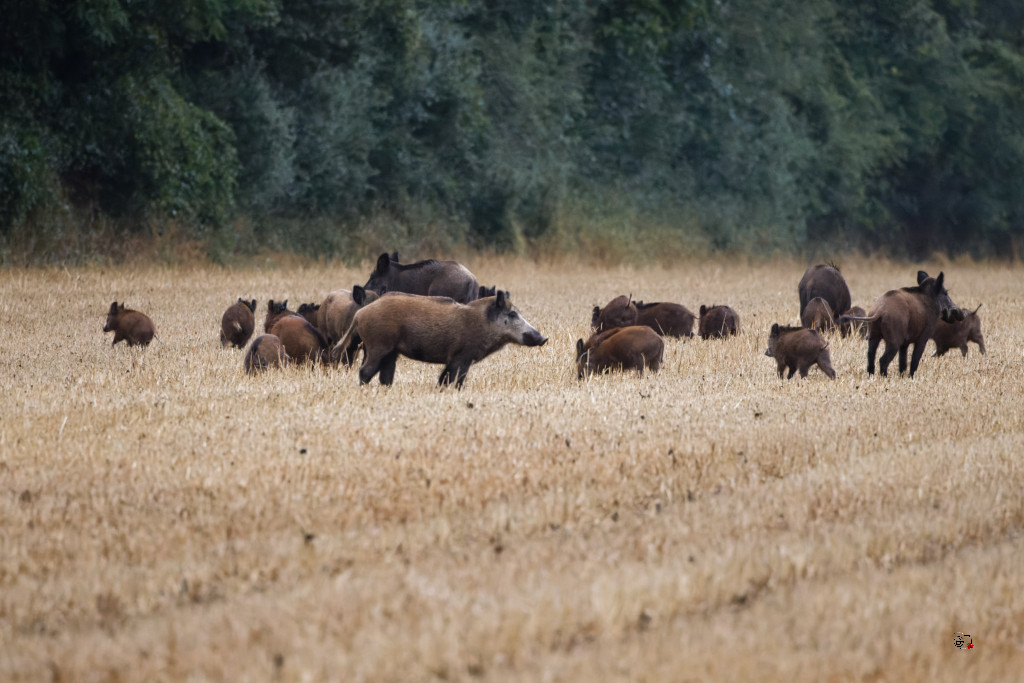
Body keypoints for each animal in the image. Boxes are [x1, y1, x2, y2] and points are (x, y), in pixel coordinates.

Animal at [336, 290, 547, 388]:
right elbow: (453, 380)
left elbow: (444, 379)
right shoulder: (462, 356)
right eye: (512, 314)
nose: (544, 338)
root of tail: (360, 314)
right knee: (365, 371)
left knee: (385, 376)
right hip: (378, 345)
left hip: (390, 351)